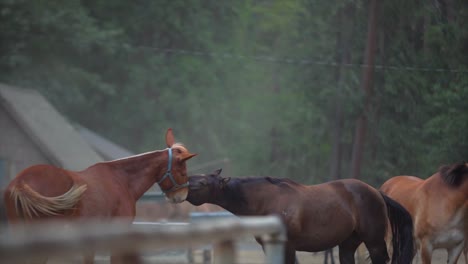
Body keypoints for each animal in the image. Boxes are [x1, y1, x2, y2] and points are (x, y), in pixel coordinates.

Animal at [186, 169, 414, 264]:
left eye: (204, 182)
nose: (185, 183)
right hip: (348, 245)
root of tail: (377, 193)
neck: (266, 200)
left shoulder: (288, 246)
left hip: (374, 243)